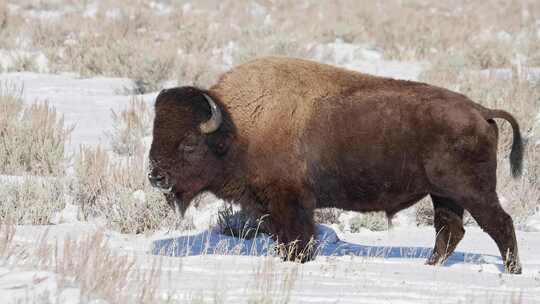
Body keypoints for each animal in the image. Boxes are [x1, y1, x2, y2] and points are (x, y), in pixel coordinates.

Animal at [148, 56, 524, 274]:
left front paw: (298, 262)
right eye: (155, 134)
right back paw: (430, 267)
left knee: (499, 223)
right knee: (450, 230)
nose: (156, 176)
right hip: (444, 194)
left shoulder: (292, 201)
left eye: (189, 143)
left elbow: (298, 238)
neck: (237, 127)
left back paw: (512, 271)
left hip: (471, 191)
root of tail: (480, 110)